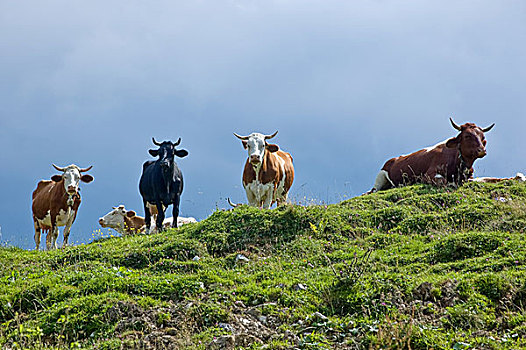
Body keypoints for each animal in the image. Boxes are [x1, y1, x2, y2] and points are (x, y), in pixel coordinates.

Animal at [370, 119, 498, 193]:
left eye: (483, 137)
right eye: (467, 136)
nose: (482, 150)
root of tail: (394, 159)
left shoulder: (470, 177)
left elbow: (487, 179)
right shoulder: (428, 175)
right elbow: (443, 181)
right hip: (380, 178)